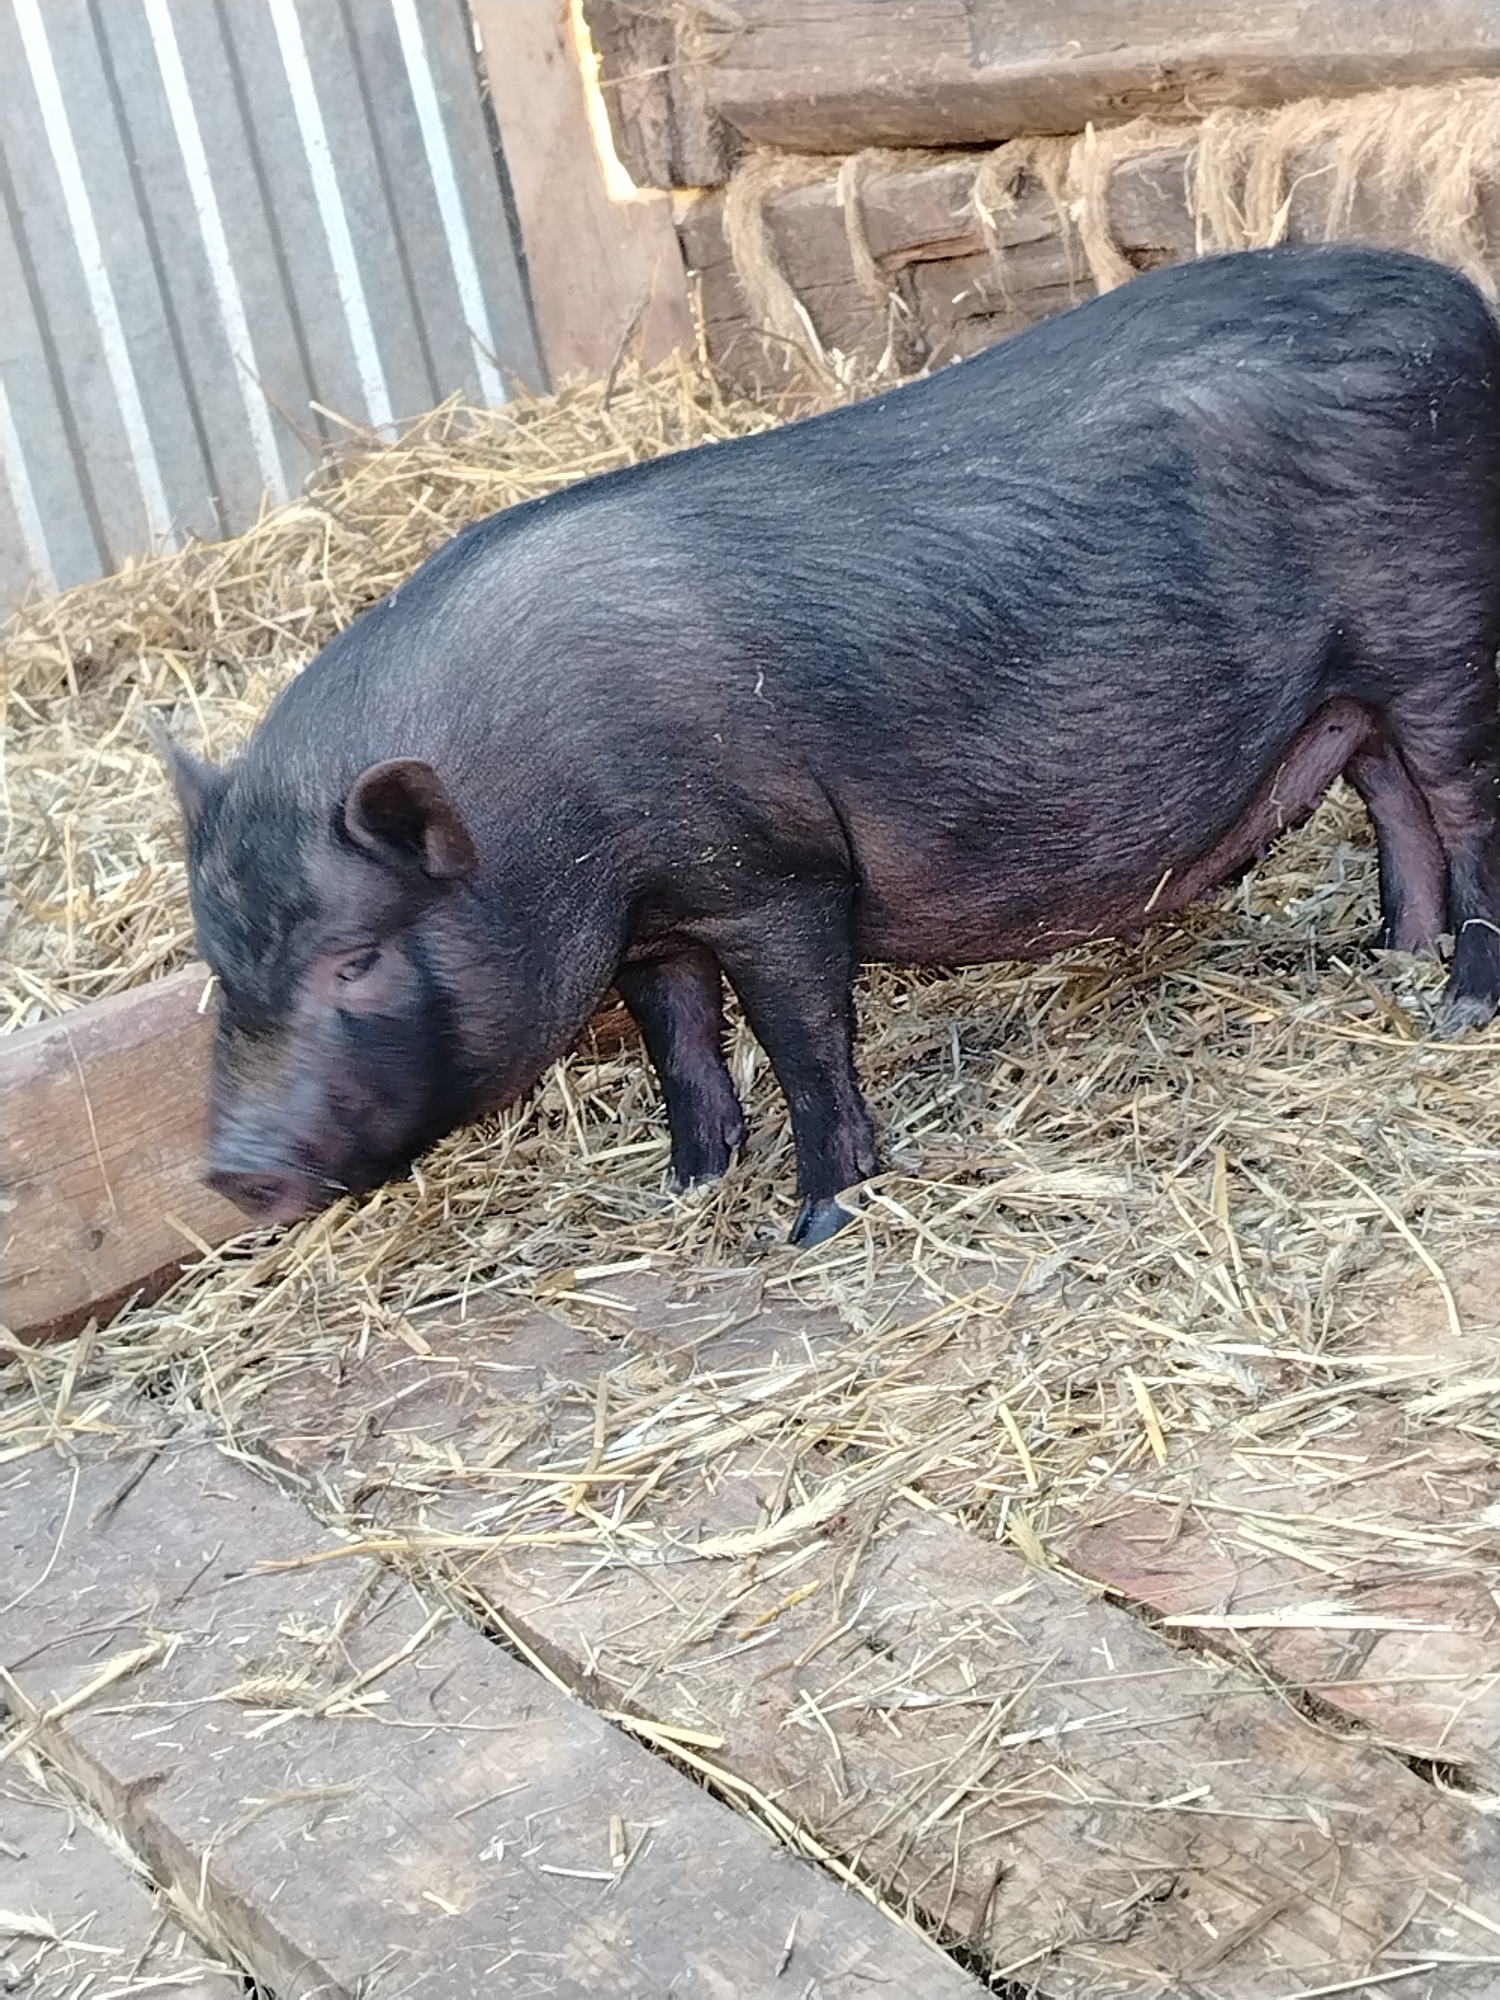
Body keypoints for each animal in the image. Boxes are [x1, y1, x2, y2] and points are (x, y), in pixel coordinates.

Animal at [163, 244, 1500, 1247]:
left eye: (356, 959)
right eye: (222, 966)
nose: (231, 1171)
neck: (539, 812)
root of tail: (1458, 301)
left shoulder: (777, 872)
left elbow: (804, 1039)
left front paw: (817, 1219)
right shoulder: (655, 919)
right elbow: (679, 1041)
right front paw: (690, 1185)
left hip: (1438, 630)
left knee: (1466, 808)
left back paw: (1459, 1006)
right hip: (1352, 684)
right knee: (1393, 795)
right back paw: (1392, 957)